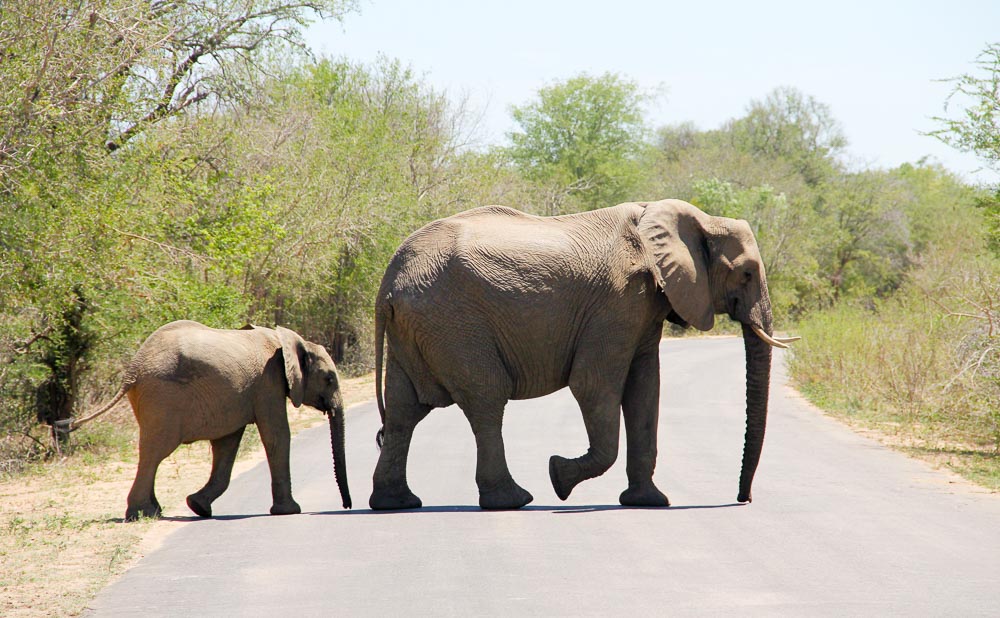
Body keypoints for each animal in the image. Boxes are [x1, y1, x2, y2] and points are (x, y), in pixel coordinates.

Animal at [79, 320, 352, 524]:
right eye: (329, 379)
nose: (347, 506)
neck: (287, 341)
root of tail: (133, 369)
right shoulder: (269, 383)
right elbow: (277, 435)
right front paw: (290, 511)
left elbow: (227, 443)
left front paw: (197, 506)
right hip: (163, 396)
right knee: (155, 451)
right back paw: (142, 514)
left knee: (153, 452)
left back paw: (154, 511)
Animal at [370, 199, 796, 510]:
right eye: (746, 273)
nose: (743, 499)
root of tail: (388, 281)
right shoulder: (618, 302)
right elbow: (593, 385)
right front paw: (559, 477)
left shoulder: (644, 306)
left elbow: (645, 390)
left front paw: (648, 502)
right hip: (454, 323)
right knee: (486, 399)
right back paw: (512, 500)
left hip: (417, 328)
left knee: (404, 411)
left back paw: (397, 503)